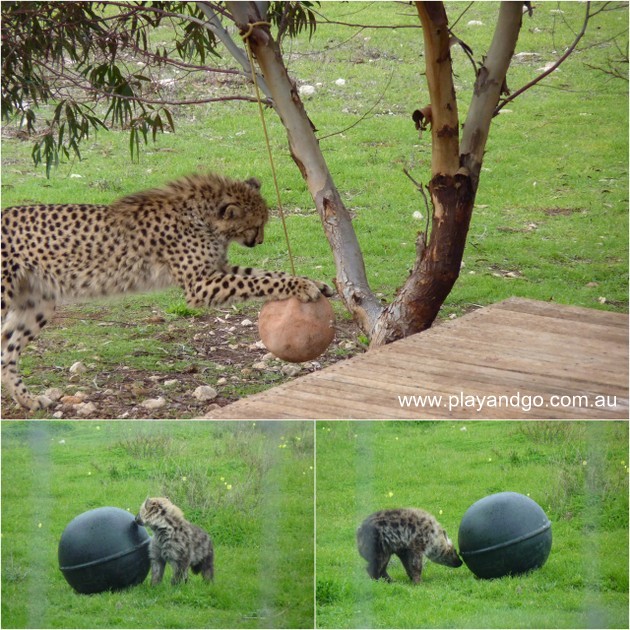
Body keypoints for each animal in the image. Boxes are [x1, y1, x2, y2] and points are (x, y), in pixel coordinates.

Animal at [1, 173, 336, 412]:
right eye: (255, 224)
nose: (260, 241)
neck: (203, 214)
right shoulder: (200, 284)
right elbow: (259, 282)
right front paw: (301, 287)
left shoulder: (215, 270)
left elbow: (264, 275)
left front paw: (310, 282)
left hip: (37, 303)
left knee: (7, 350)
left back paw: (26, 400)